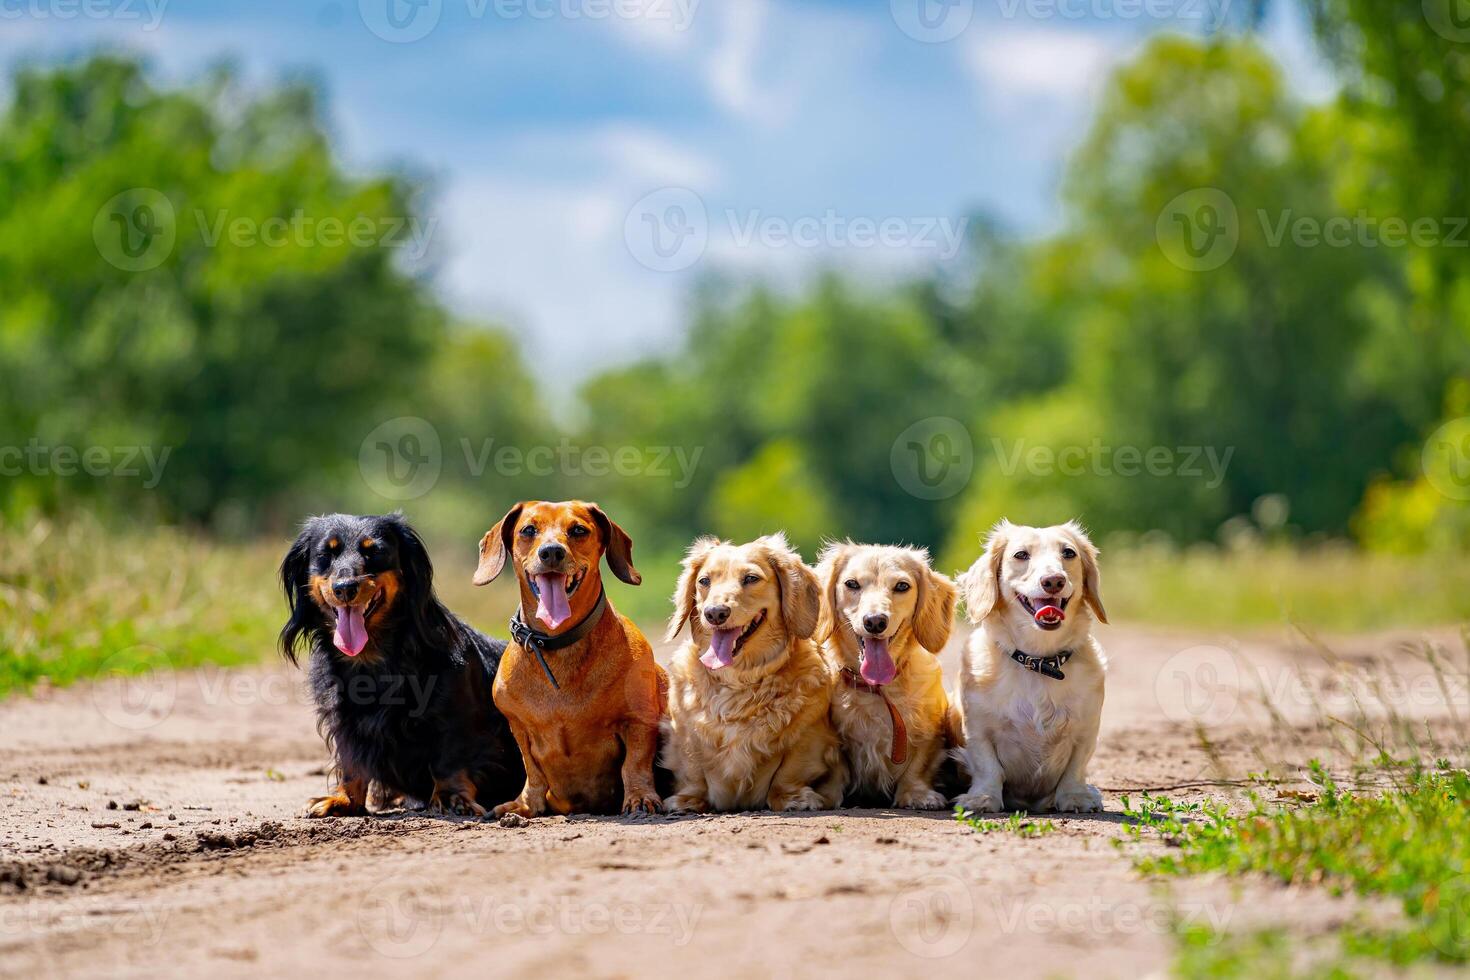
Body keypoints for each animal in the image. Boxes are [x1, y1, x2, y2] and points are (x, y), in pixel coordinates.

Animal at [277, 514, 526, 822]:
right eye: (326, 554)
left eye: (374, 551)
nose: (345, 587)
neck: (370, 660)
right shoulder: (345, 721)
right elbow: (351, 764)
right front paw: (342, 799)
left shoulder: (455, 716)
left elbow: (449, 758)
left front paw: (451, 797)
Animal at [661, 531, 846, 816]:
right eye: (704, 581)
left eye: (751, 578)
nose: (715, 613)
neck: (739, 680)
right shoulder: (684, 734)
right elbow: (693, 770)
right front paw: (687, 800)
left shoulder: (808, 735)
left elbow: (789, 771)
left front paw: (792, 798)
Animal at [811, 540, 958, 811]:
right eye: (852, 584)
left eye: (902, 586)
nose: (875, 621)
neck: (877, 687)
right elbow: (835, 769)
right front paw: (827, 796)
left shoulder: (929, 731)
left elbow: (919, 764)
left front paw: (916, 793)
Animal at [952, 520, 1105, 811]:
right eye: (1021, 554)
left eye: (1068, 553)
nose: (1053, 581)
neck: (1038, 661)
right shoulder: (978, 729)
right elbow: (988, 767)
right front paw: (983, 798)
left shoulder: (1086, 729)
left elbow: (1076, 768)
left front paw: (1076, 797)